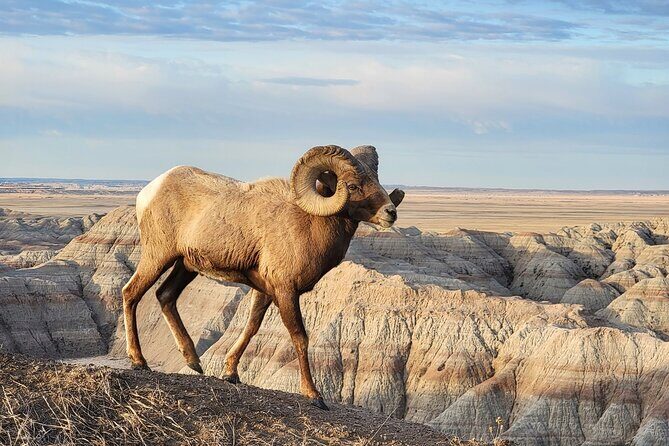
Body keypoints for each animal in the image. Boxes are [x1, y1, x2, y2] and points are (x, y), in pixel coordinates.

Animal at [122, 145, 405, 409]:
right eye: (353, 185)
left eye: (377, 181)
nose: (390, 213)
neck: (309, 223)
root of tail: (148, 192)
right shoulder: (285, 291)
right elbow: (300, 337)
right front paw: (314, 395)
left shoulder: (265, 290)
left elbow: (251, 326)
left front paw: (230, 373)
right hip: (158, 256)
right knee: (131, 293)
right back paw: (139, 361)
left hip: (185, 266)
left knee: (165, 296)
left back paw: (193, 362)